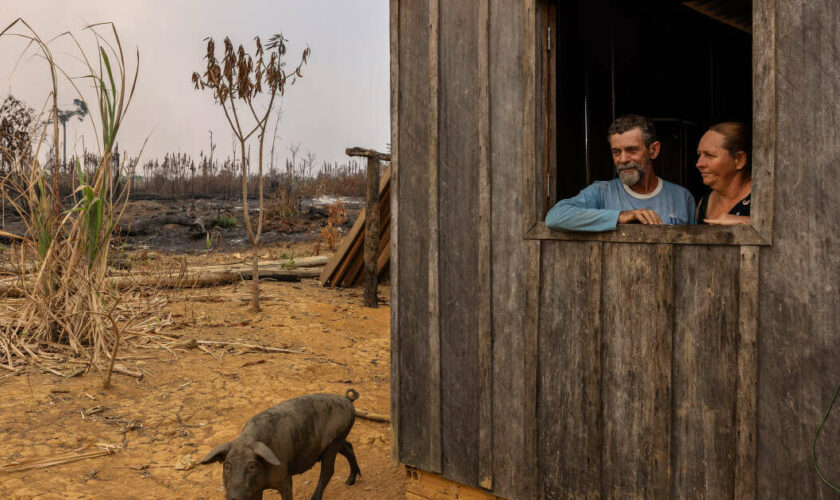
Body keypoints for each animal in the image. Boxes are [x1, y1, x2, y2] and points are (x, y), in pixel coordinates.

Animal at [203, 390, 364, 500]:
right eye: (227, 466)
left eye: (252, 466)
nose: (235, 496)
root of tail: (348, 400)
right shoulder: (256, 490)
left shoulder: (285, 479)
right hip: (337, 441)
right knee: (349, 447)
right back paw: (350, 482)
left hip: (334, 442)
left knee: (328, 471)